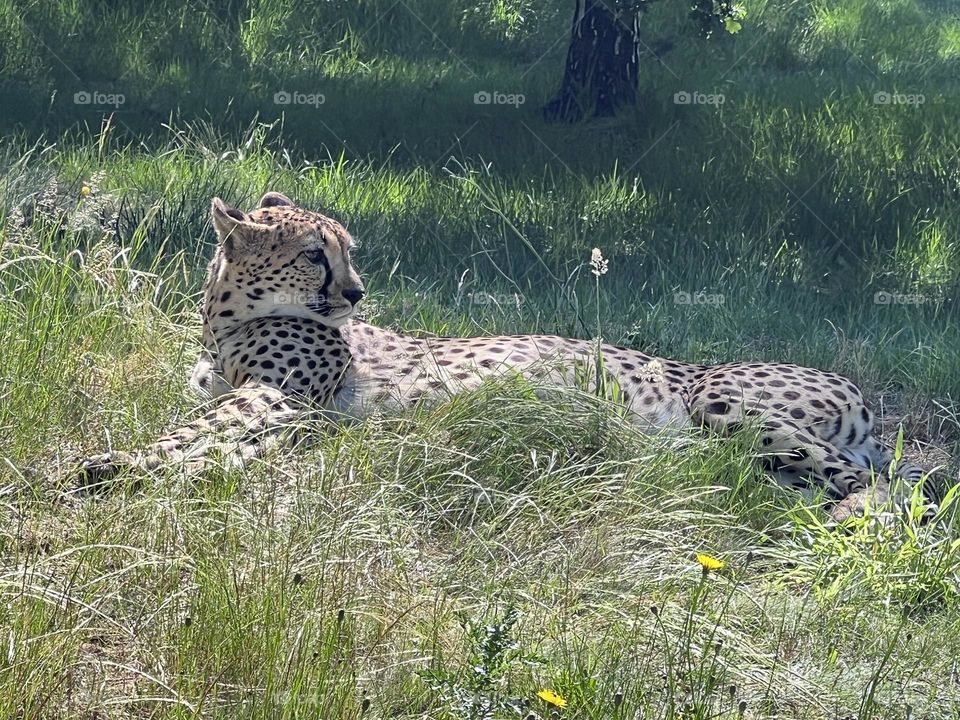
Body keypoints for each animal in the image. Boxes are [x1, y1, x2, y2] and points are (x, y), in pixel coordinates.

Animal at [79, 192, 937, 521]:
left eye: (347, 252)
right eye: (316, 255)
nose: (357, 292)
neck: (224, 320)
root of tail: (859, 392)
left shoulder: (281, 397)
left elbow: (191, 434)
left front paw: (111, 466)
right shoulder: (287, 412)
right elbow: (211, 441)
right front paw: (169, 474)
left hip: (720, 403)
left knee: (886, 485)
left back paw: (854, 515)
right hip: (743, 449)